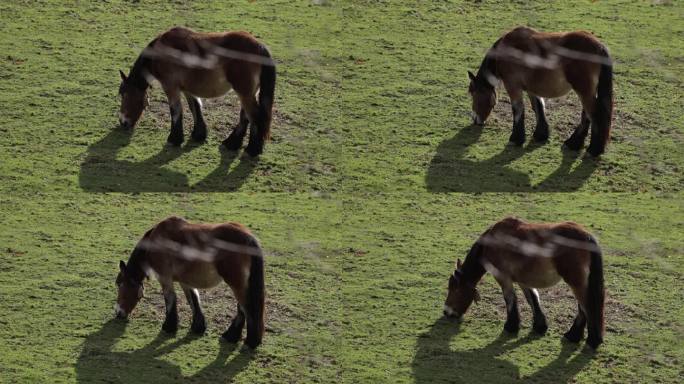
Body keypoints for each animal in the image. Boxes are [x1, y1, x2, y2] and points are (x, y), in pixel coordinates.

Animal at [115, 216, 264, 348]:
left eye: (120, 284)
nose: (118, 312)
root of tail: (248, 238)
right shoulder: (185, 280)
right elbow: (193, 300)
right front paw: (198, 327)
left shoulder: (164, 278)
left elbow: (170, 299)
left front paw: (169, 327)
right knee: (242, 308)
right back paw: (232, 336)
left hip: (236, 284)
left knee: (247, 308)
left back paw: (250, 341)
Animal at [117, 26, 276, 157]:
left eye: (124, 94)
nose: (123, 122)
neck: (162, 51)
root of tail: (259, 47)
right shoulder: (187, 87)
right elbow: (195, 106)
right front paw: (198, 134)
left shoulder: (171, 86)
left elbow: (175, 111)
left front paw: (174, 139)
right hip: (249, 92)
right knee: (246, 116)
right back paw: (232, 143)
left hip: (244, 93)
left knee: (255, 117)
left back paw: (252, 150)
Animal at [446, 218, 608, 350]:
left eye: (455, 290)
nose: (446, 312)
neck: (493, 241)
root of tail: (586, 236)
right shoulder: (522, 279)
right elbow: (533, 298)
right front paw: (540, 326)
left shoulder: (503, 277)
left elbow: (510, 299)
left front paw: (511, 326)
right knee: (583, 308)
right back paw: (574, 335)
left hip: (576, 283)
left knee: (587, 307)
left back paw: (591, 340)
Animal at [468, 26, 612, 157]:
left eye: (474, 94)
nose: (475, 119)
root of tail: (599, 46)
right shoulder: (531, 87)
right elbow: (538, 106)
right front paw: (540, 134)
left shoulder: (513, 85)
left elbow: (517, 109)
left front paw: (516, 139)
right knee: (587, 115)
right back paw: (574, 143)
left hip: (583, 91)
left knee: (594, 115)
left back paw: (593, 149)